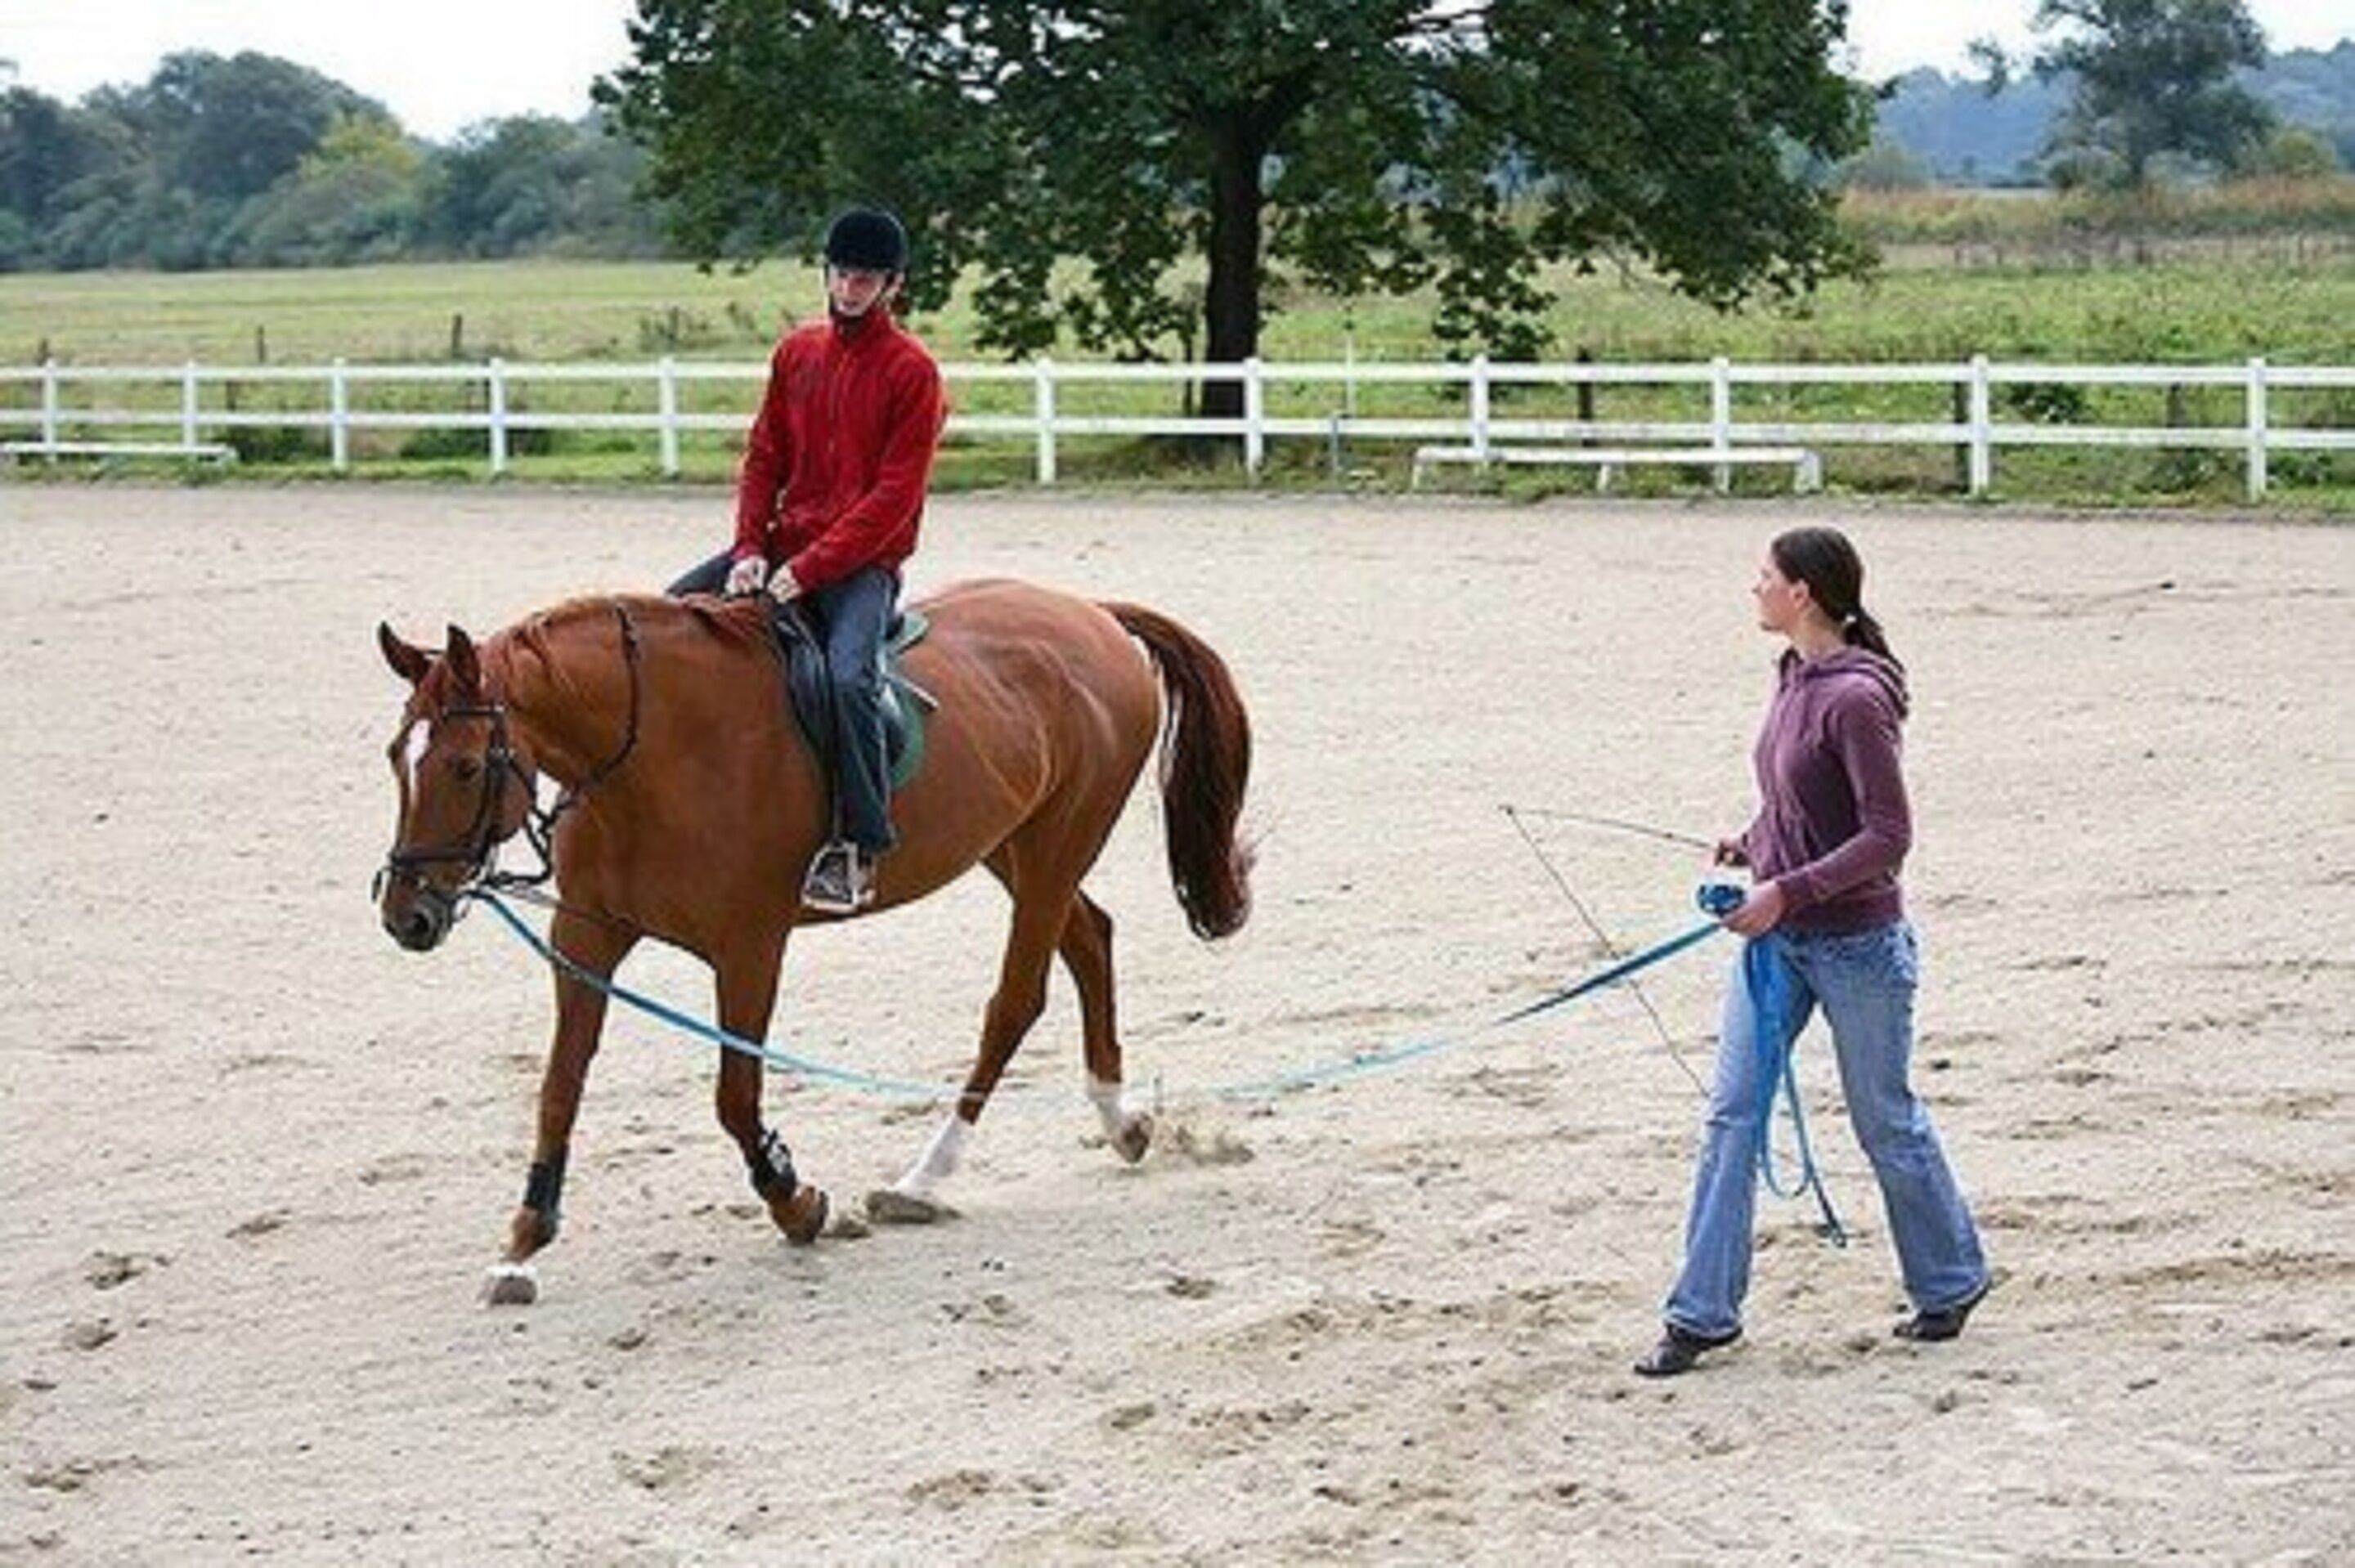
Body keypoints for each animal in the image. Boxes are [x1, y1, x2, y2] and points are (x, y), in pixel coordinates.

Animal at [374, 579, 1252, 1303]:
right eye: (395, 759)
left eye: (463, 766)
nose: (404, 915)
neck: (653, 755)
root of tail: (1093, 615)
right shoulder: (586, 937)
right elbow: (560, 1087)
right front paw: (521, 1245)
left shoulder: (750, 946)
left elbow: (735, 1096)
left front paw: (796, 1202)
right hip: (1014, 845)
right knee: (1090, 941)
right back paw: (1121, 1121)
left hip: (1056, 845)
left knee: (1017, 1001)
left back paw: (924, 1180)